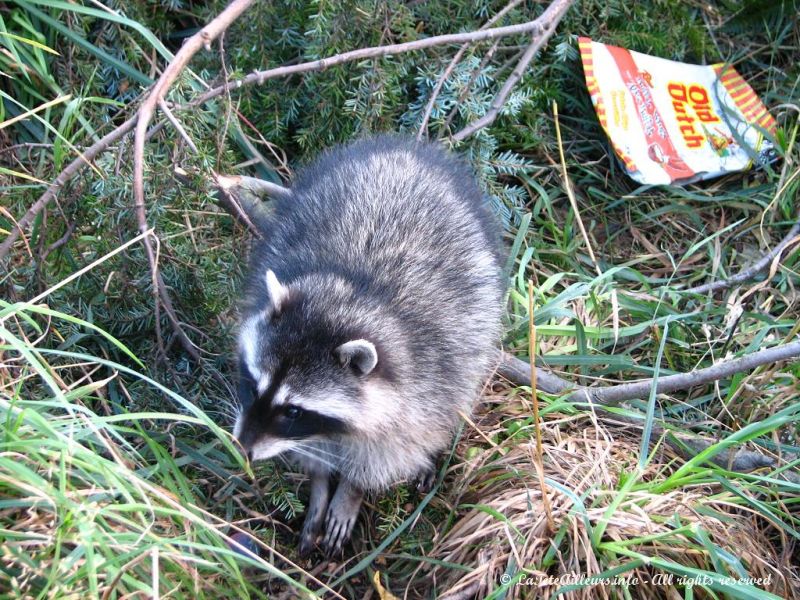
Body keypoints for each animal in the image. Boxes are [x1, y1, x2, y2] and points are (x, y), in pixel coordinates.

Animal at [234, 136, 504, 556]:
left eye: (293, 410)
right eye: (252, 384)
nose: (242, 447)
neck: (354, 293)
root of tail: (405, 150)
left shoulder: (426, 386)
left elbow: (387, 453)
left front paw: (351, 491)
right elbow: (314, 454)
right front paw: (319, 486)